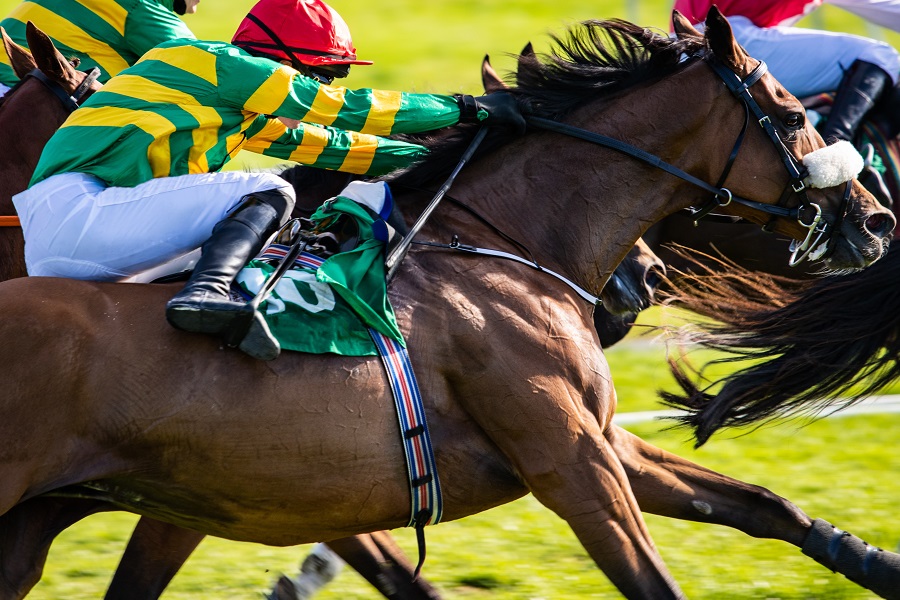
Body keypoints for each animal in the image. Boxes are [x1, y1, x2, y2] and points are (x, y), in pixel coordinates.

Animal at [1, 9, 900, 600]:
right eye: (794, 114)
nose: (874, 219)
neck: (509, 250)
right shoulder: (570, 462)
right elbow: (649, 576)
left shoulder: (606, 444)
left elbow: (763, 504)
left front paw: (875, 561)